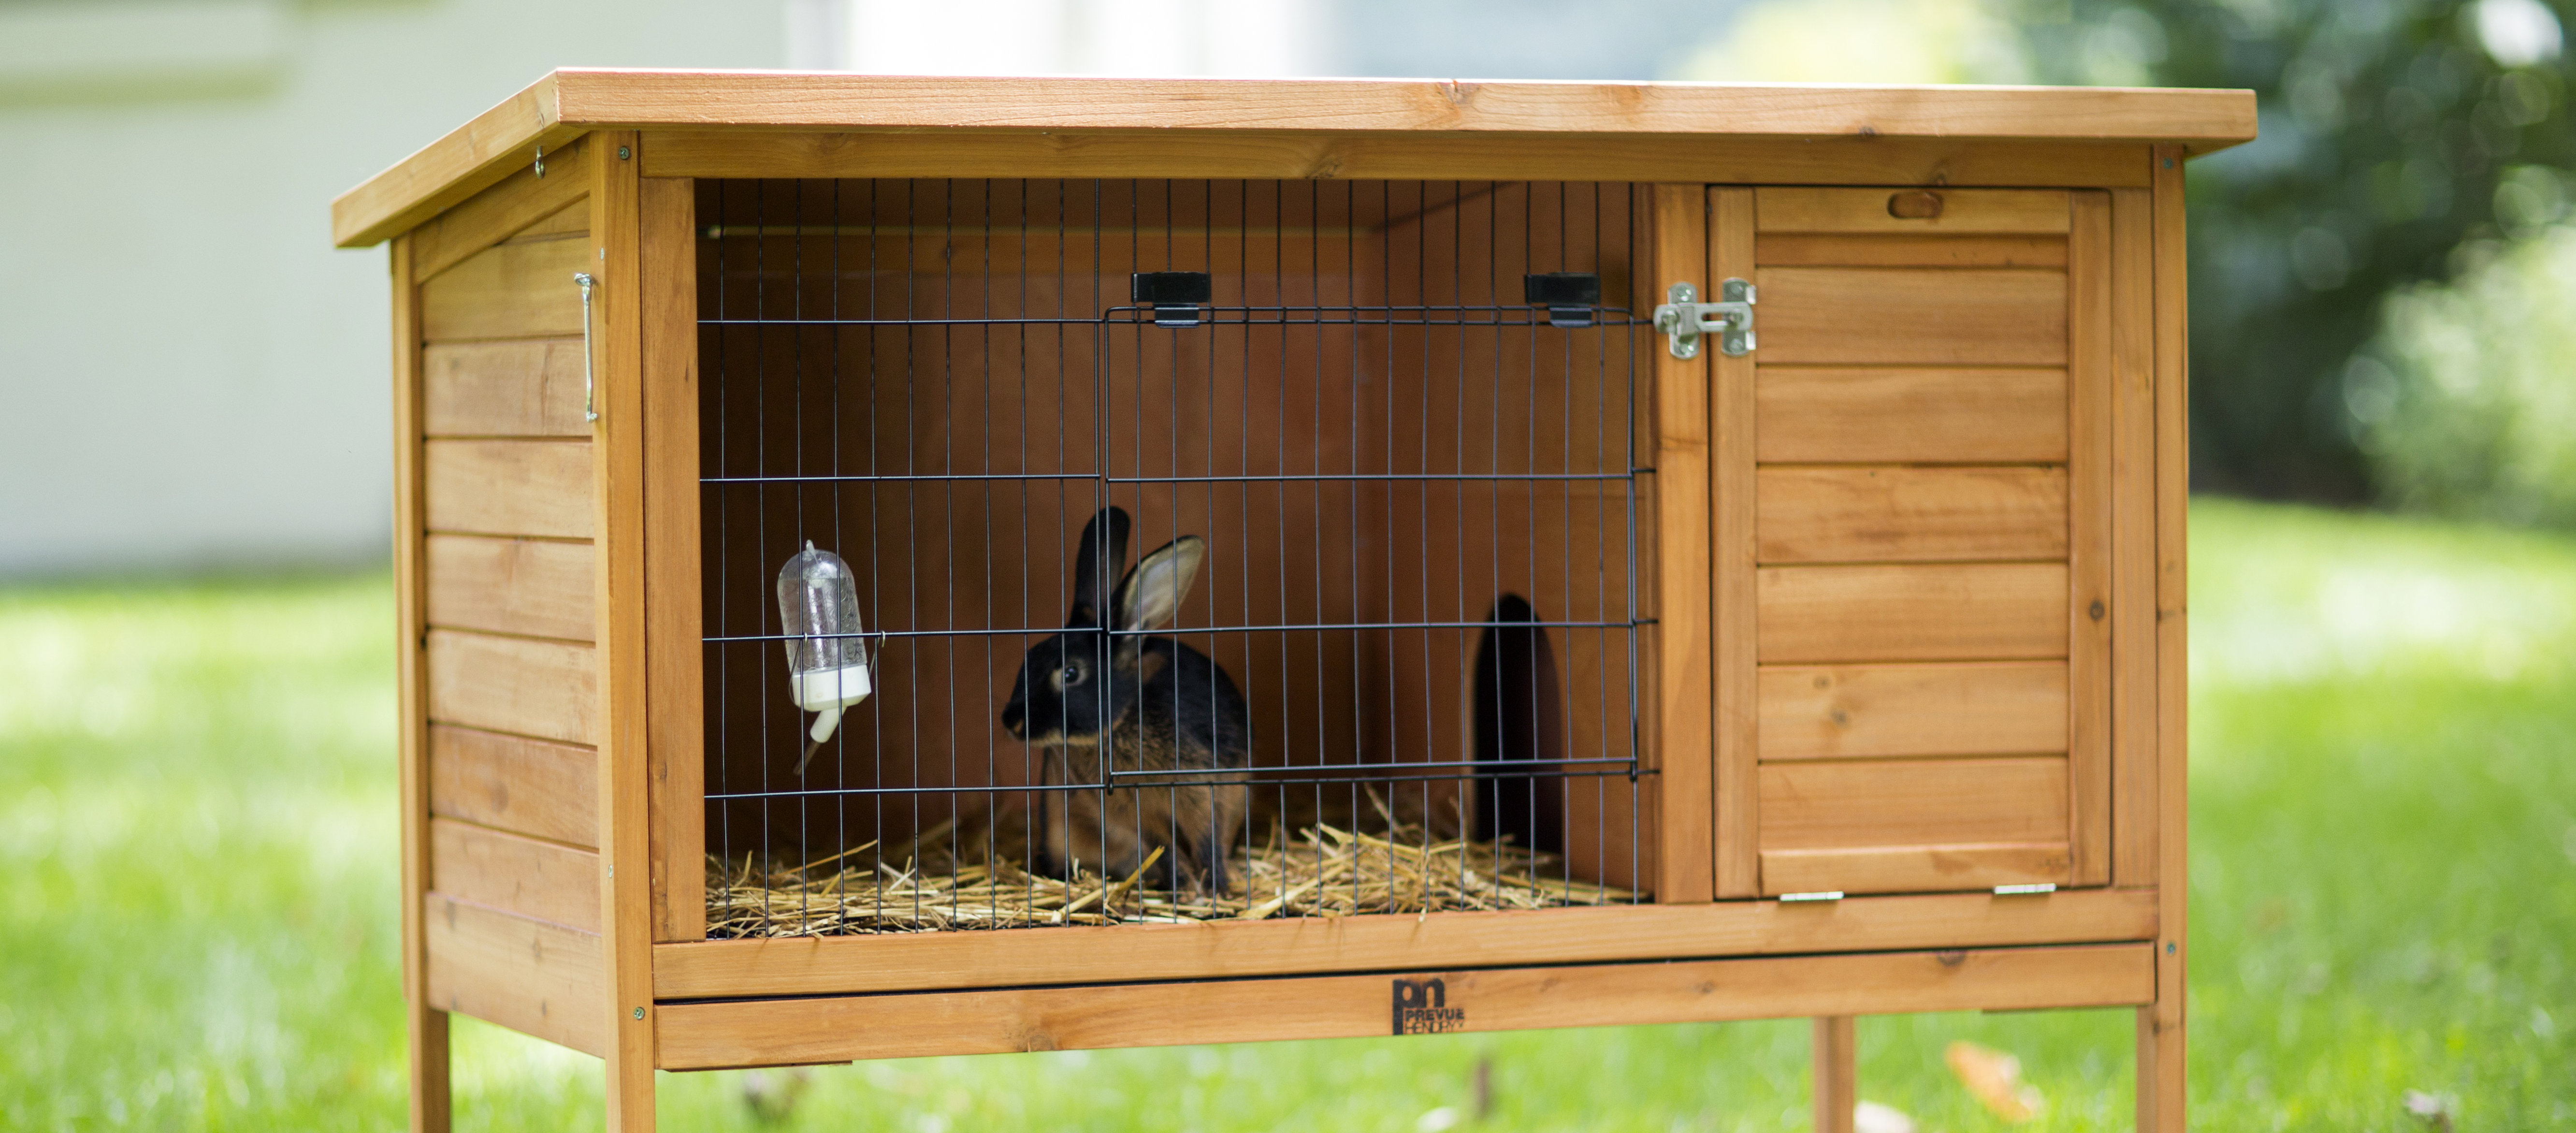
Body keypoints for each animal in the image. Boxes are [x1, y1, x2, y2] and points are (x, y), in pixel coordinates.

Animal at [1000, 507, 1251, 893]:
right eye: (1027, 659)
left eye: (1071, 674)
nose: (1011, 721)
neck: (1122, 720)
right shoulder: (1135, 817)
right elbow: (1163, 848)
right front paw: (1184, 886)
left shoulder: (1204, 789)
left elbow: (1208, 840)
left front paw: (1217, 887)